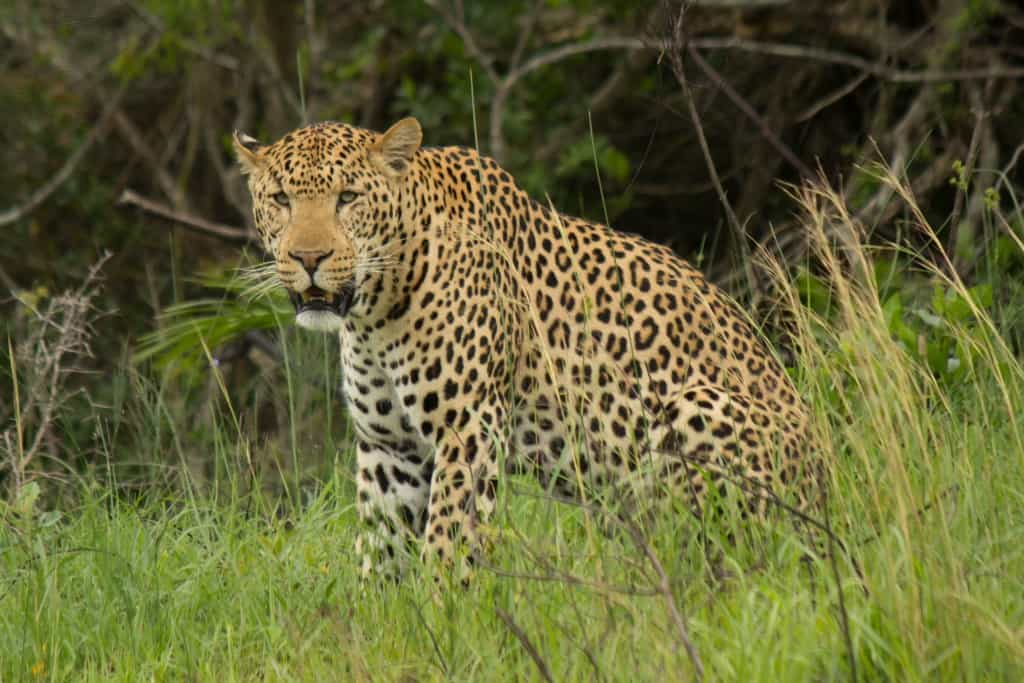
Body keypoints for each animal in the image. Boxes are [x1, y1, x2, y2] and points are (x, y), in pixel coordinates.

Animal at [232, 118, 815, 581]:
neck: (375, 312)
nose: (309, 258)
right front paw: (385, 627)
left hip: (693, 409)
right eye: (281, 200)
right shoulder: (389, 448)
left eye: (349, 198)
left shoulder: (466, 427)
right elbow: (381, 549)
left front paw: (448, 612)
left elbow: (447, 538)